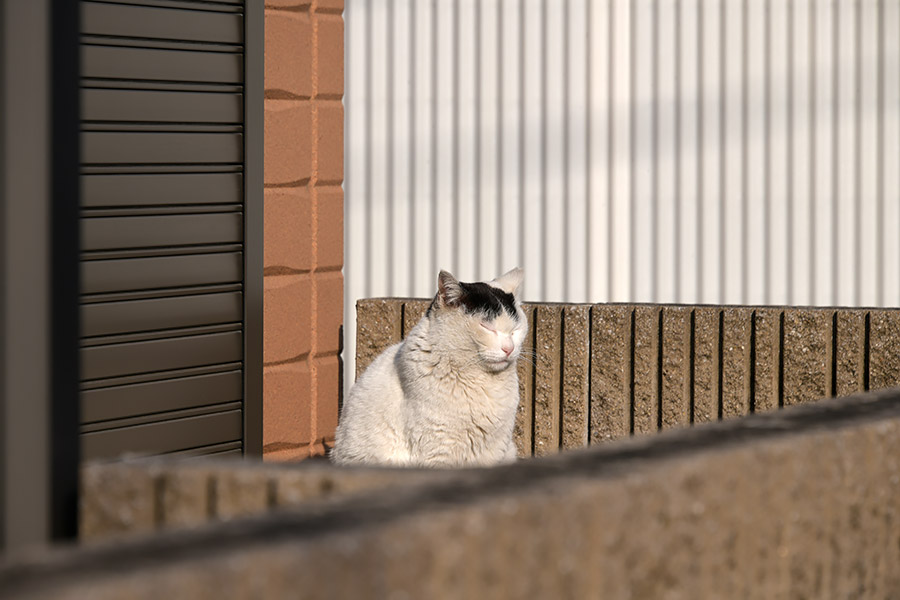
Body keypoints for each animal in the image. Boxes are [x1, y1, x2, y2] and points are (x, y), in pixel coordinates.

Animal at [330, 268, 528, 468]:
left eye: (516, 330)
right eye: (487, 327)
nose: (509, 348)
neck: (483, 382)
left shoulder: (495, 449)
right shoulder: (439, 451)